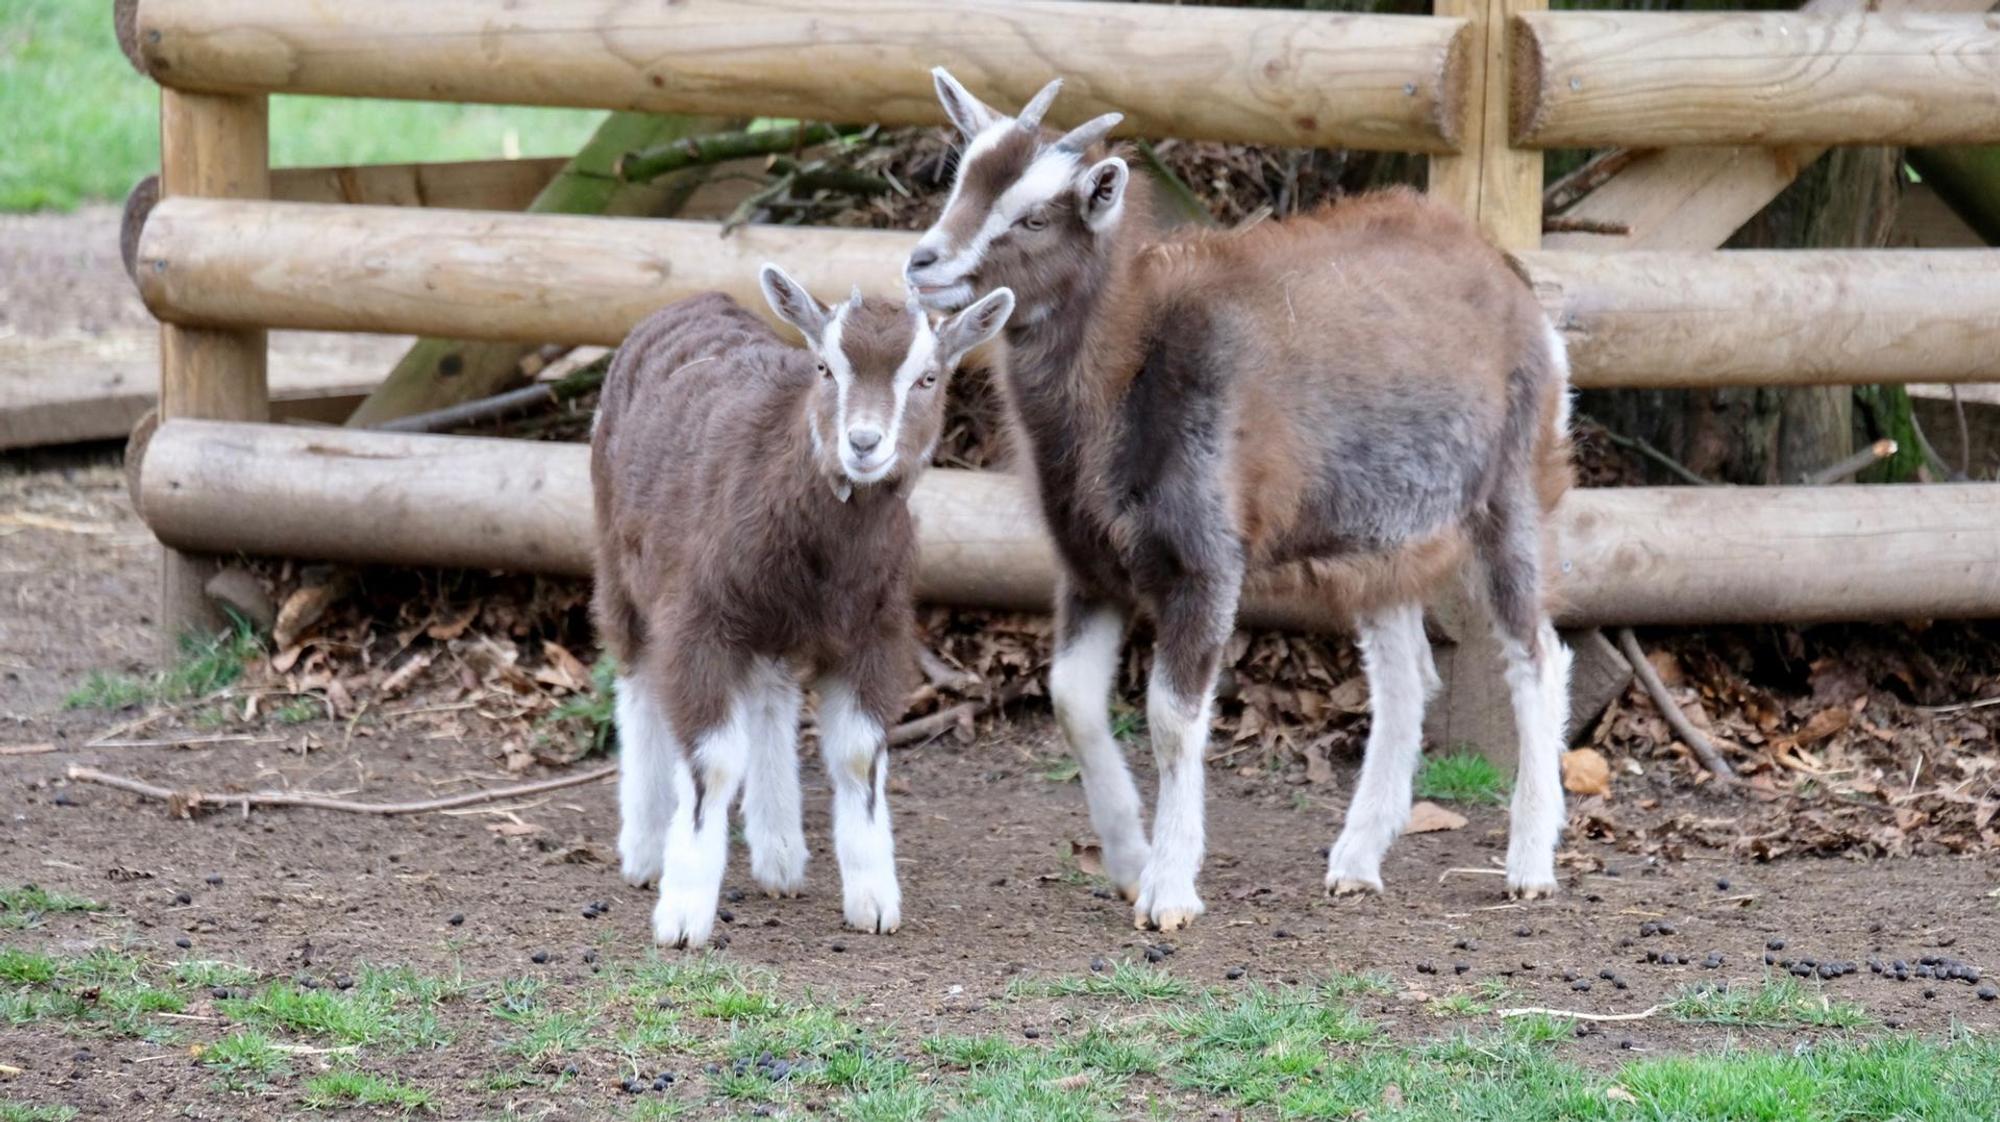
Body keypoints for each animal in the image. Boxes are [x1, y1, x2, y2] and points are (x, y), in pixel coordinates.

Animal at [591, 266, 1014, 947]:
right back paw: (645, 849)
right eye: (825, 368)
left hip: (773, 622)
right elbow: (712, 762)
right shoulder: (697, 618)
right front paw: (683, 913)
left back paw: (780, 854)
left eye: (928, 377)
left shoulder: (877, 626)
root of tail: (695, 299)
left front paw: (873, 898)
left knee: (770, 696)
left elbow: (860, 755)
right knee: (636, 676)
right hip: (616, 550)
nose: (863, 443)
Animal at [905, 71, 1575, 932]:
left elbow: (1171, 717)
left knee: (1537, 657)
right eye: (961, 180)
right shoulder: (1088, 568)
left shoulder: (1205, 562)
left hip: (1510, 492)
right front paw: (1128, 861)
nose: (924, 262)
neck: (1131, 370)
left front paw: (1168, 891)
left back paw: (1529, 864)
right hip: (1383, 536)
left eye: (1034, 215)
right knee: (1405, 679)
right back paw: (1356, 861)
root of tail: (1506, 276)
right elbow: (1072, 701)